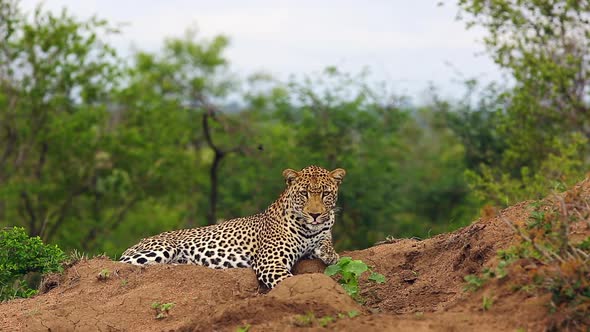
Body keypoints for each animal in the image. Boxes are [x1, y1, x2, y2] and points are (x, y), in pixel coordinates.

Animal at [119, 166, 346, 288]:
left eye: (326, 194)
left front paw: (330, 254)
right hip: (163, 248)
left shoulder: (320, 234)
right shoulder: (269, 262)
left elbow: (324, 242)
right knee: (125, 264)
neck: (307, 229)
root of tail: (135, 243)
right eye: (304, 194)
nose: (315, 214)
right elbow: (287, 280)